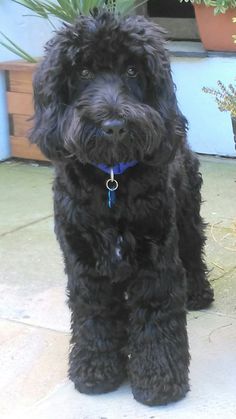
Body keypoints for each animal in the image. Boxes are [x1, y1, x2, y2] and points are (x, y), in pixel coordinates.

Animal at [29, 12, 214, 406]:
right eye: (83, 72)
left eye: (132, 70)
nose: (113, 126)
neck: (112, 178)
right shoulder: (84, 260)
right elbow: (94, 313)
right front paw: (95, 370)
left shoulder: (156, 258)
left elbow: (156, 314)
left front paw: (159, 381)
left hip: (186, 215)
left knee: (193, 252)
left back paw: (198, 293)